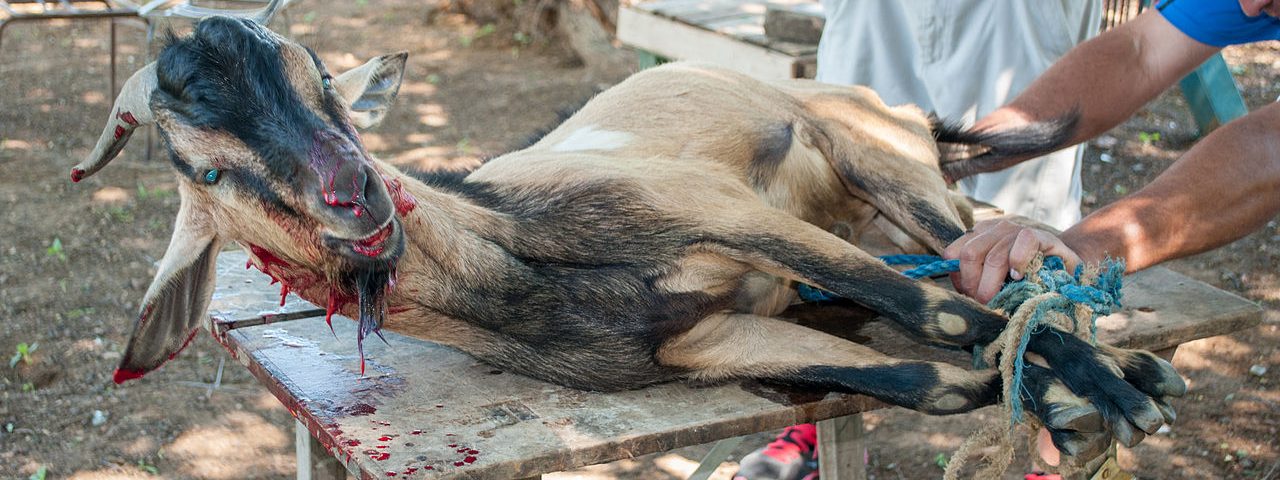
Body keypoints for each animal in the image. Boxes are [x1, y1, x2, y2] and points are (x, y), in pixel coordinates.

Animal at [74, 10, 1182, 458]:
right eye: (204, 167)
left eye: (319, 83)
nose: (360, 201)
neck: (526, 264)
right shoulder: (707, 343)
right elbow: (938, 378)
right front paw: (1072, 402)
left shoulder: (716, 211)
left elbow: (939, 315)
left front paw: (1114, 393)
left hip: (889, 171)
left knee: (968, 269)